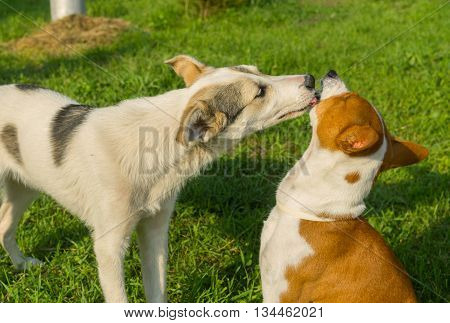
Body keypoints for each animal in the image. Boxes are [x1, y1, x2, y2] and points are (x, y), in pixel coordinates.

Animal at [0, 56, 316, 304]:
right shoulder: (109, 247)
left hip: (24, 189)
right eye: (260, 92)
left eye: (259, 71)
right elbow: (119, 300)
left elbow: (157, 291)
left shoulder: (154, 232)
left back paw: (21, 265)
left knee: (5, 227)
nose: (312, 79)